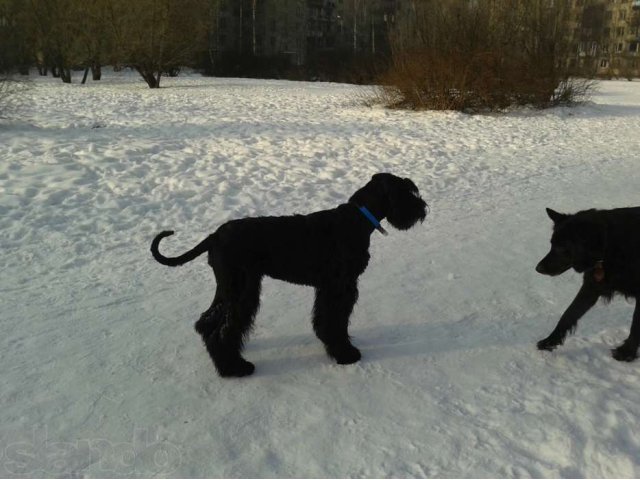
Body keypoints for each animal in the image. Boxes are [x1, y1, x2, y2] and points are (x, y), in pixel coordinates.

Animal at [151, 174, 428, 376]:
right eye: (406, 192)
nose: (423, 208)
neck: (357, 219)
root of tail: (214, 236)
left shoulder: (329, 287)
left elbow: (327, 319)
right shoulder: (340, 286)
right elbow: (335, 320)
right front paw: (345, 353)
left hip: (233, 287)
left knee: (208, 321)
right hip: (241, 288)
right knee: (219, 328)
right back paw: (234, 368)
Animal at [536, 206, 640, 360]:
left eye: (561, 248)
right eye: (551, 245)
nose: (538, 268)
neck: (608, 244)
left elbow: (635, 324)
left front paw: (626, 353)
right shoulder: (591, 287)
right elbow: (568, 315)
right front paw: (549, 342)